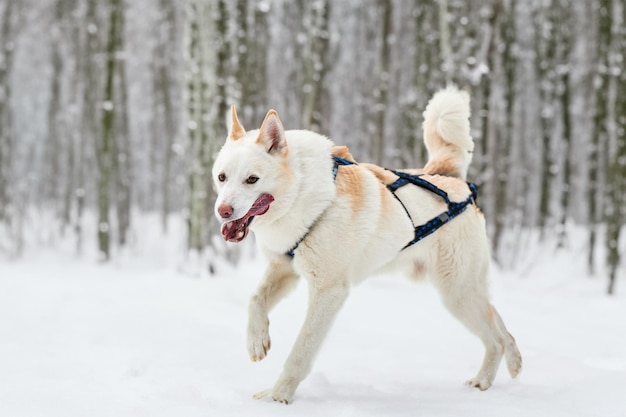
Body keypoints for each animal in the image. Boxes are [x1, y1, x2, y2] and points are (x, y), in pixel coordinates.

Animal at [212, 87, 520, 404]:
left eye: (252, 179)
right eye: (222, 177)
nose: (222, 211)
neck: (303, 195)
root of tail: (448, 177)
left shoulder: (329, 292)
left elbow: (301, 350)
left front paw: (279, 396)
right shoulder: (284, 269)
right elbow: (255, 299)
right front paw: (257, 342)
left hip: (456, 292)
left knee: (496, 338)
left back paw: (484, 380)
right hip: (463, 292)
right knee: (502, 327)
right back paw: (512, 363)